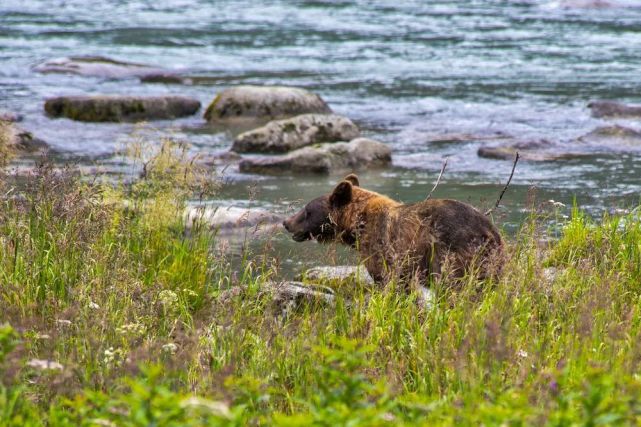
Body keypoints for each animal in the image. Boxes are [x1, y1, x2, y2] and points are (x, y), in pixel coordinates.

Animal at [282, 174, 502, 288]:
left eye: (307, 210)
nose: (286, 222)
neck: (357, 225)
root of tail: (490, 230)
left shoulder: (381, 248)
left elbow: (384, 279)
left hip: (454, 251)